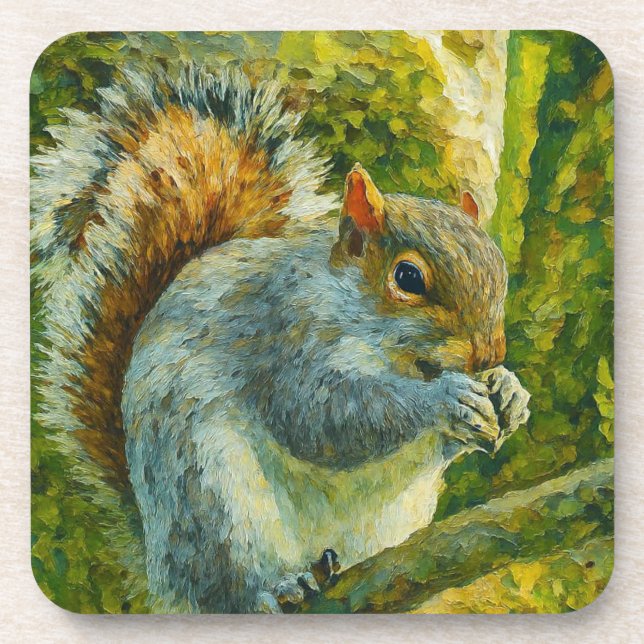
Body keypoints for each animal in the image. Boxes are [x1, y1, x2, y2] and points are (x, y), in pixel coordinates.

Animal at [31, 64, 530, 613]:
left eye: (499, 268)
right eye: (408, 277)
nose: (490, 353)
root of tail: (163, 573)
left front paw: (509, 391)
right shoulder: (281, 335)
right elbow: (322, 417)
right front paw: (445, 400)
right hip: (211, 494)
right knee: (228, 581)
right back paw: (280, 587)